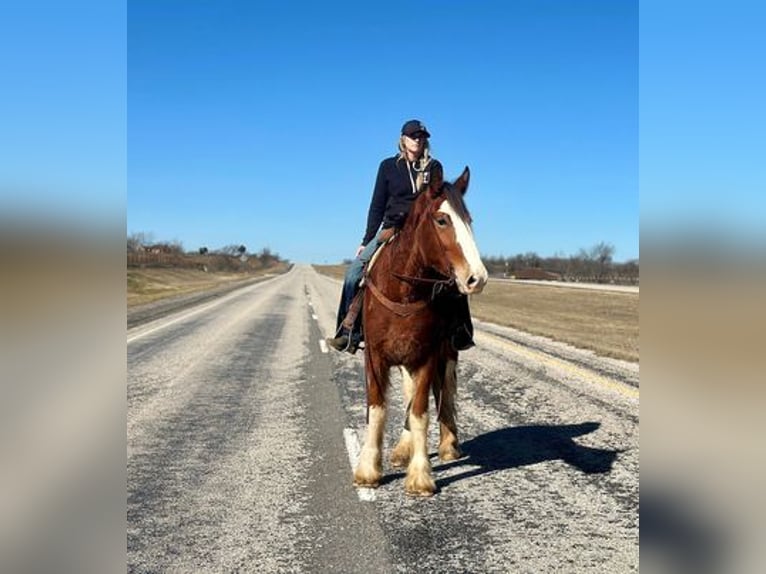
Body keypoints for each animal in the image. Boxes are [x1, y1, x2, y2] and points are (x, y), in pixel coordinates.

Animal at [352, 166, 488, 500]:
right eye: (442, 220)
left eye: (469, 219)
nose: (477, 278)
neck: (404, 291)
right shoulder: (375, 356)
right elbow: (378, 408)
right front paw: (368, 470)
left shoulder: (427, 355)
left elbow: (420, 412)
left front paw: (420, 476)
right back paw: (402, 448)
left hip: (446, 352)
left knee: (444, 390)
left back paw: (448, 444)